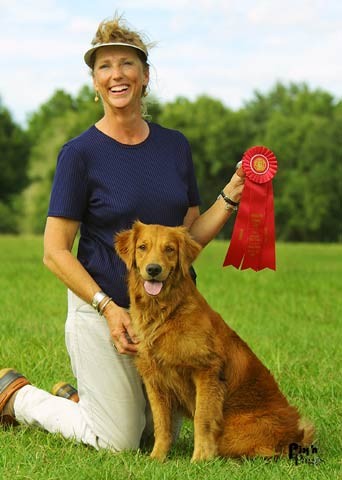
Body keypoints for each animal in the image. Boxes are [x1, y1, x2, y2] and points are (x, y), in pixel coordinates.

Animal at [115, 220, 316, 462]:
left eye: (169, 249)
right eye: (142, 247)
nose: (154, 269)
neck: (166, 312)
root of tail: (297, 433)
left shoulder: (206, 371)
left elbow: (202, 418)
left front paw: (200, 459)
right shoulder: (154, 377)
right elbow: (162, 423)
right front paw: (157, 458)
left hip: (235, 433)